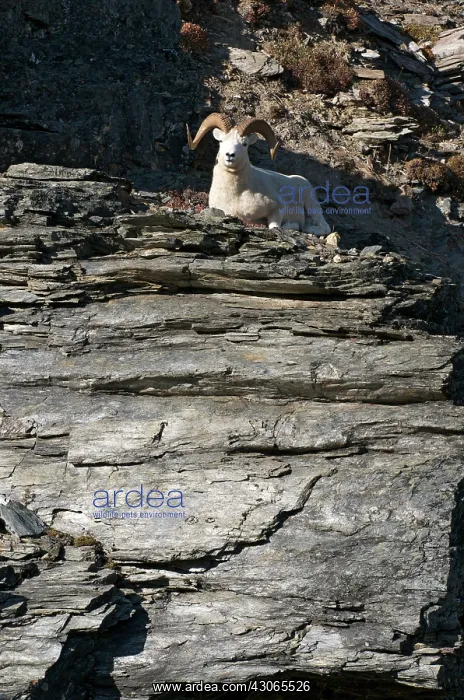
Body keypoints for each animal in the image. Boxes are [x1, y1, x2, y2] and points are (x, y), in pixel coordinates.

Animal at [186, 113, 331, 236]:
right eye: (221, 141)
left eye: (244, 144)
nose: (230, 155)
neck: (236, 194)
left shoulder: (277, 209)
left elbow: (273, 226)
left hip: (312, 207)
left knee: (324, 227)